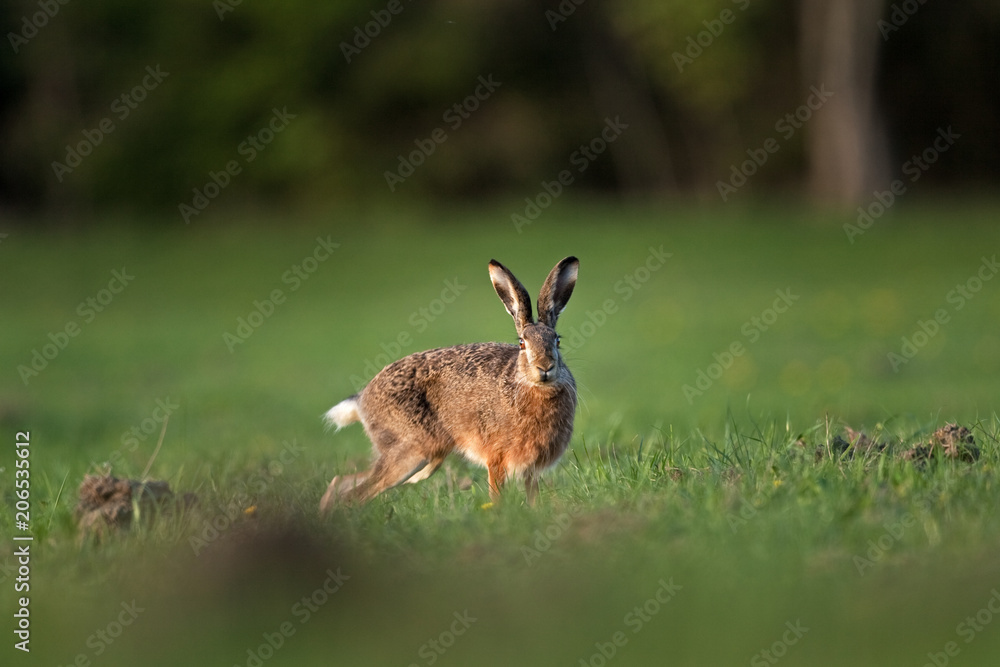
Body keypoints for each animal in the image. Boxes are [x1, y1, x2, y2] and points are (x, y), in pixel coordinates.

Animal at [320, 256, 579, 512]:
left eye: (557, 341)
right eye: (522, 343)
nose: (545, 367)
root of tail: (362, 400)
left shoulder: (531, 468)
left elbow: (533, 495)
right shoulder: (496, 458)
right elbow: (497, 494)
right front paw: (499, 515)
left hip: (423, 463)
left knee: (342, 482)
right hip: (411, 453)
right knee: (355, 493)